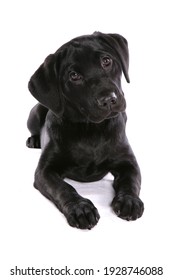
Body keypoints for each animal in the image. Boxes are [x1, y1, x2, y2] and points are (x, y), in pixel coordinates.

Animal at [26, 32, 144, 230]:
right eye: (74, 76)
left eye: (106, 61)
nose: (108, 99)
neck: (91, 129)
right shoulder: (44, 171)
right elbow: (63, 188)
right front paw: (81, 208)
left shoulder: (128, 162)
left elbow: (130, 182)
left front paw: (129, 201)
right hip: (34, 114)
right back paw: (33, 140)